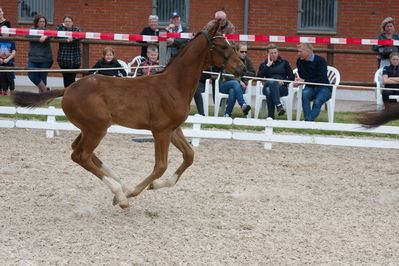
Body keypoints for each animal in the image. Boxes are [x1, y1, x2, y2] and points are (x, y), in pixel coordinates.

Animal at [10, 20, 245, 209]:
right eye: (223, 46)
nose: (242, 68)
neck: (173, 85)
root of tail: (67, 89)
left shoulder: (173, 129)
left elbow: (189, 156)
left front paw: (152, 186)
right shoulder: (160, 130)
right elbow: (160, 166)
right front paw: (137, 190)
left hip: (89, 128)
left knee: (80, 151)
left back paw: (120, 186)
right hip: (97, 128)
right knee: (81, 155)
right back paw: (121, 195)